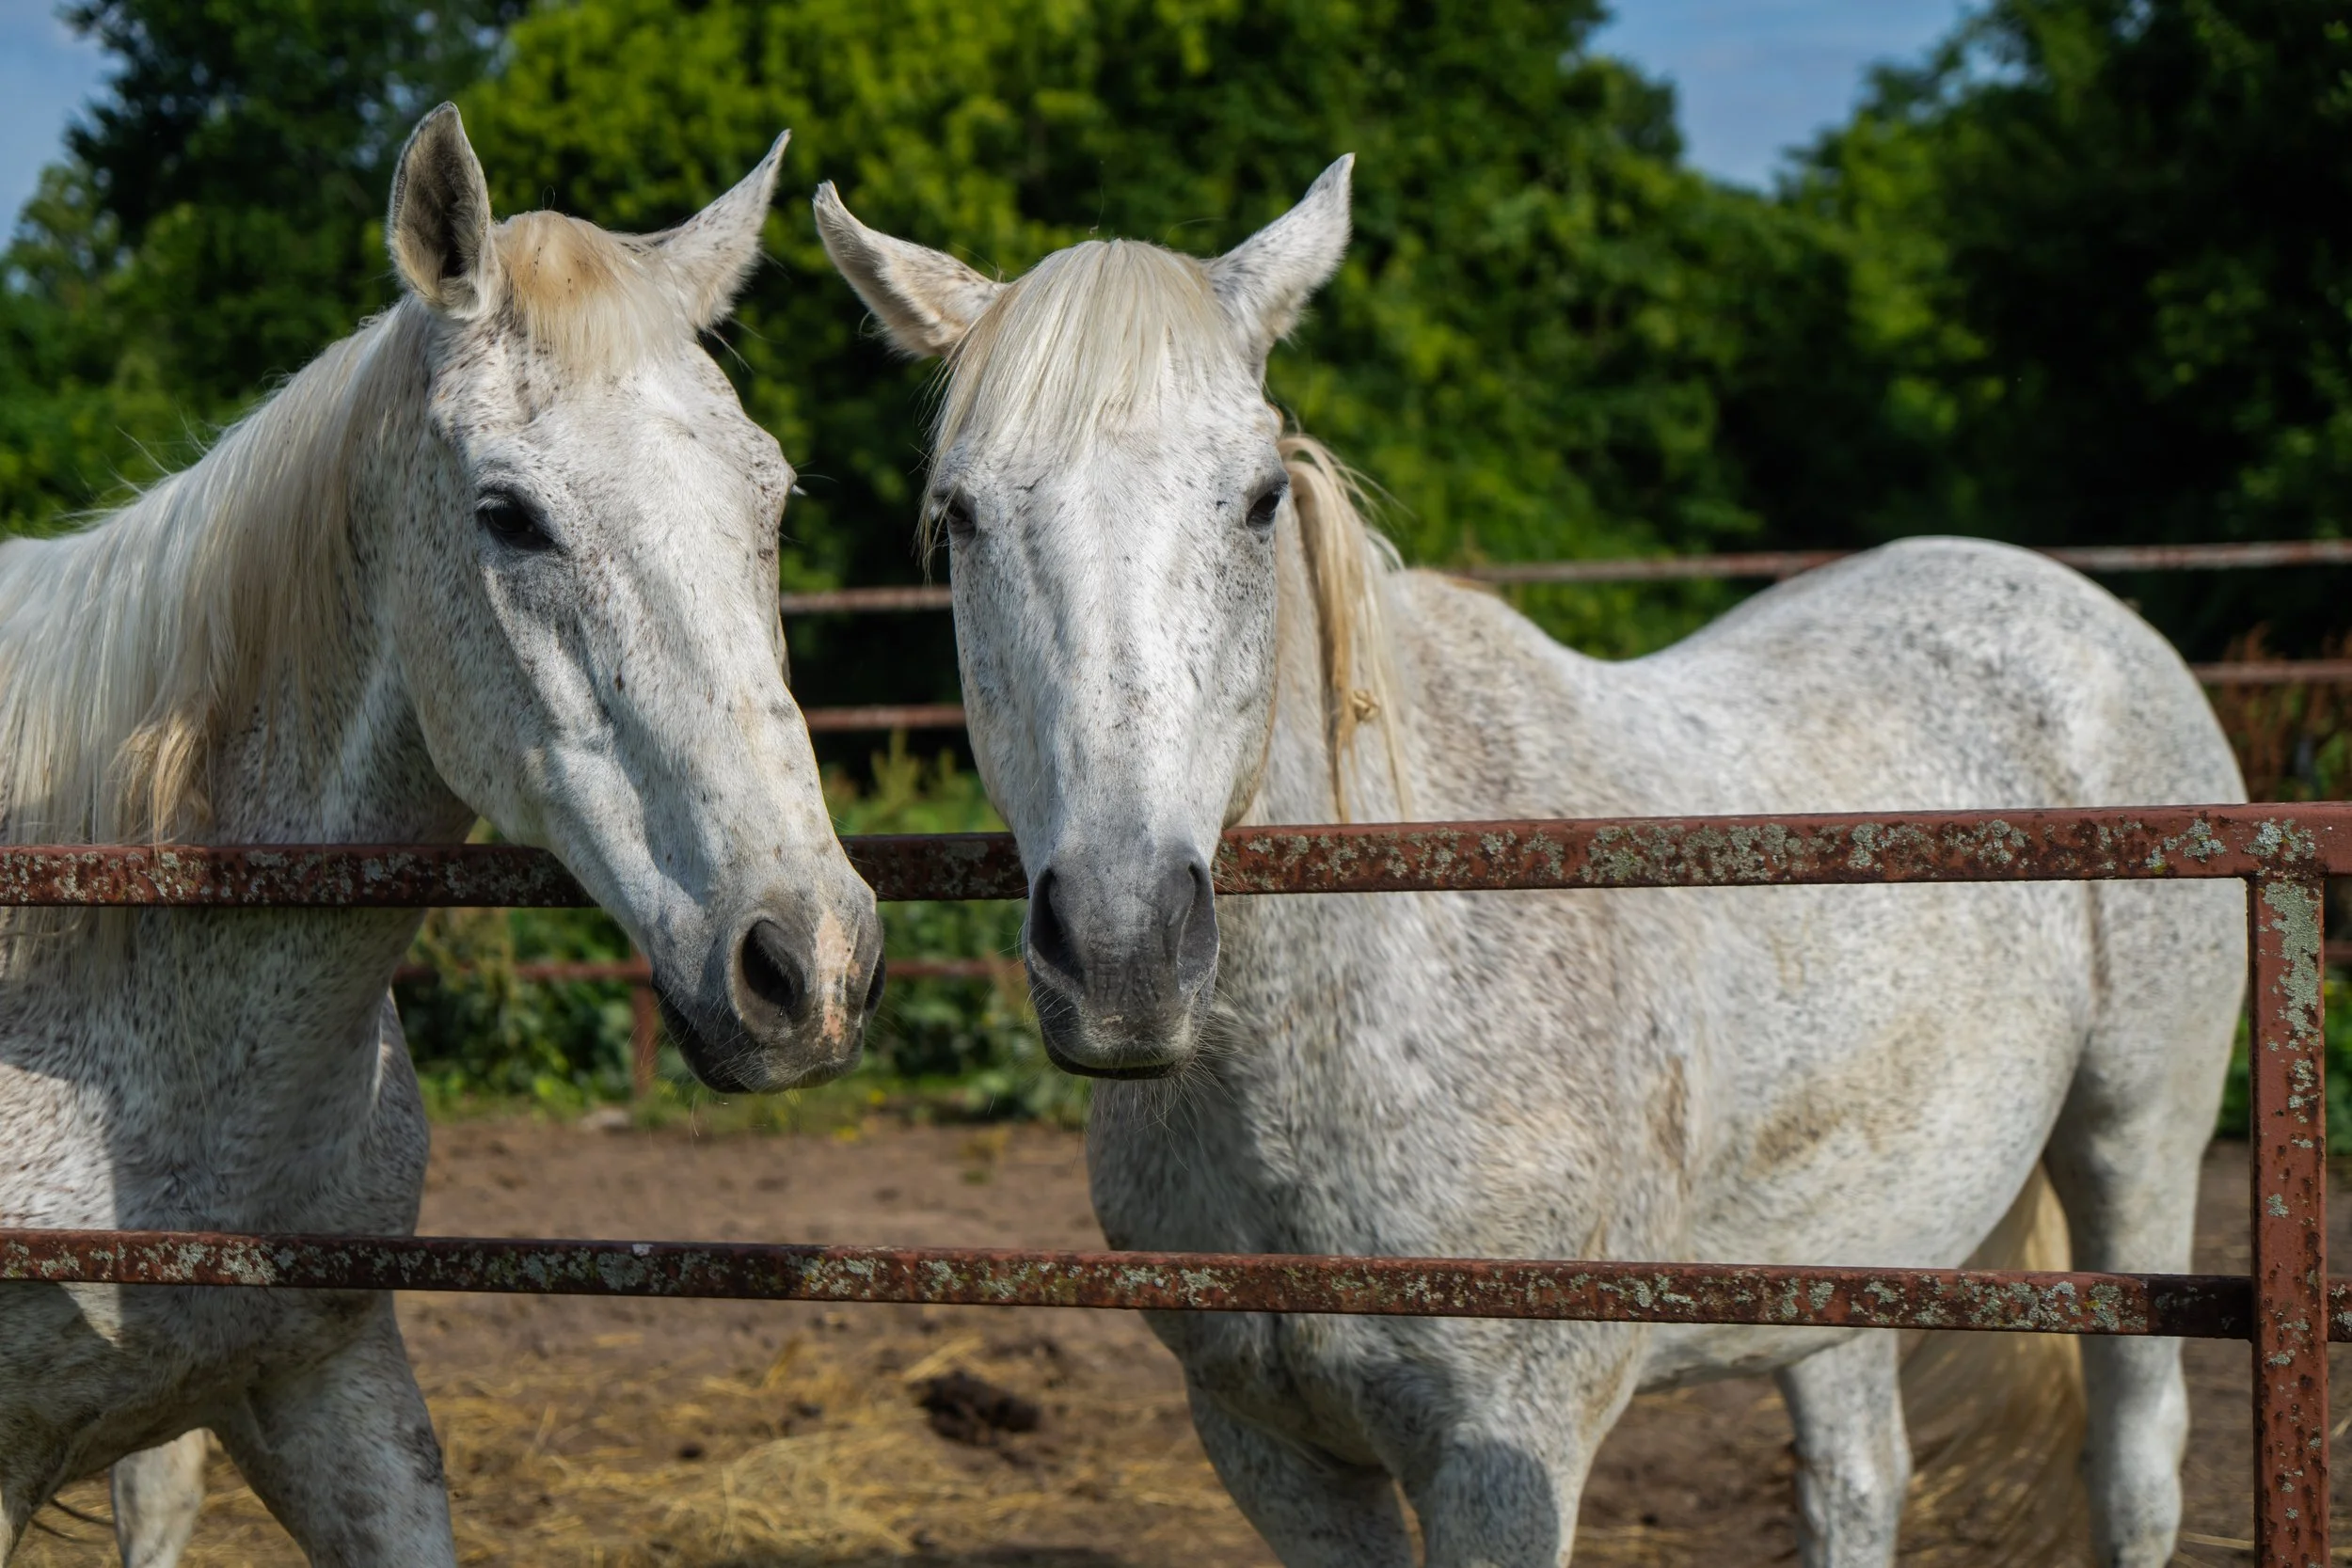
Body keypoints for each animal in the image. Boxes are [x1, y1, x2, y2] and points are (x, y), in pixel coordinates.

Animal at [813, 163, 2246, 1567]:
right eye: (958, 516)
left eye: (1259, 500)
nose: (1122, 950)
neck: (1367, 996)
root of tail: (2080, 606)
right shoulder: (1273, 1450)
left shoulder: (1505, 1456)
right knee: (1858, 1478)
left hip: (2138, 1144)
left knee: (2136, 1462)